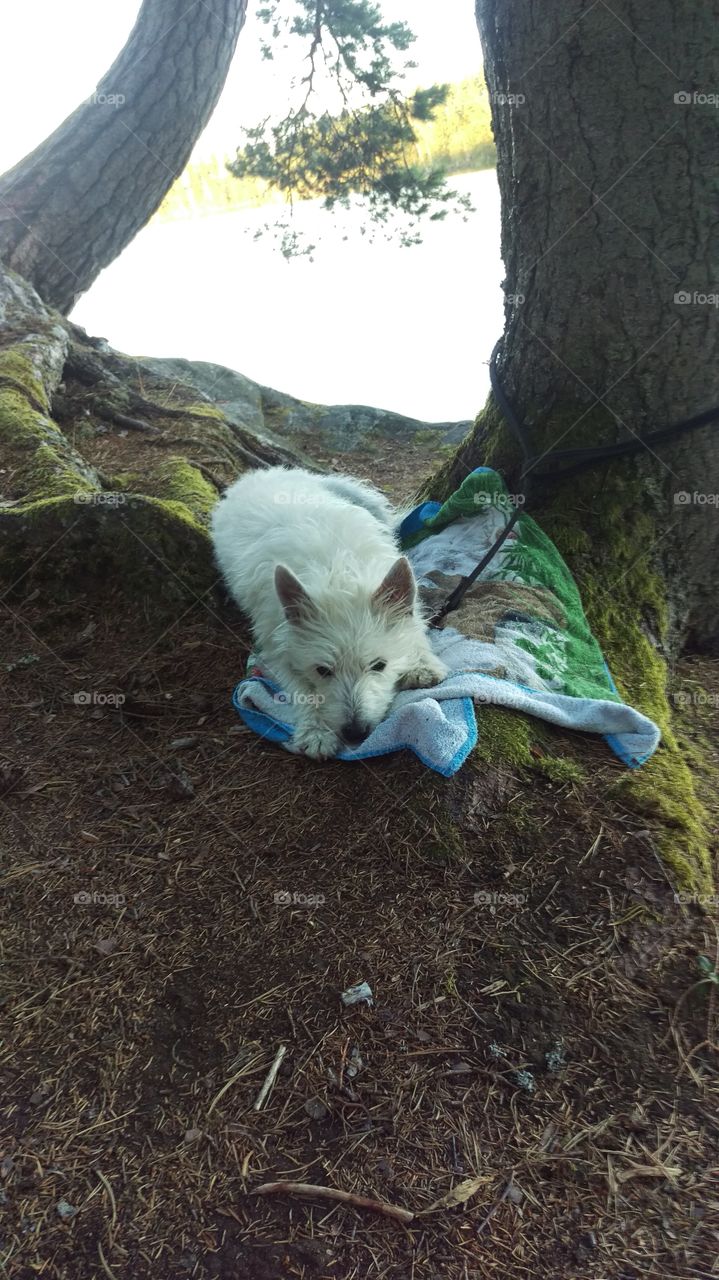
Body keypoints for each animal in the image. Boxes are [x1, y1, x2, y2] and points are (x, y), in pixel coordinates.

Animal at [208, 465, 447, 752]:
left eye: (379, 665)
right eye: (322, 670)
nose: (355, 733)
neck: (338, 574)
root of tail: (260, 473)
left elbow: (415, 628)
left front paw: (423, 665)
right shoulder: (275, 646)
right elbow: (301, 688)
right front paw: (316, 731)